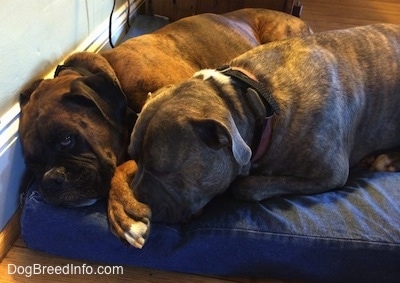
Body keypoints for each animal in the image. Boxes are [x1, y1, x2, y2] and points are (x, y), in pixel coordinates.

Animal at [18, 8, 312, 248]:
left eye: (67, 139)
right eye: (32, 163)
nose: (51, 180)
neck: (114, 75)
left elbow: (125, 167)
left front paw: (123, 211)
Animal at [125, 23, 400, 239]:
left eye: (164, 170)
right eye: (134, 157)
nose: (136, 196)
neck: (254, 98)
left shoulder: (330, 174)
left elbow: (246, 187)